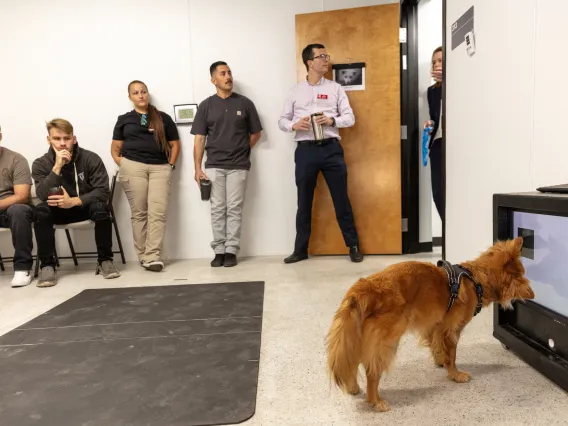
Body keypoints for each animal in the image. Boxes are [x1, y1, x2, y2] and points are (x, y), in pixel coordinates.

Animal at [326, 238, 536, 412]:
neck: (477, 279)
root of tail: (365, 288)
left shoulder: (435, 326)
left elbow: (437, 347)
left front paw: (440, 361)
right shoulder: (452, 330)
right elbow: (452, 355)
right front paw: (455, 374)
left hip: (356, 338)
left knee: (353, 362)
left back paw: (353, 387)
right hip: (386, 342)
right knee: (371, 372)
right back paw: (375, 401)